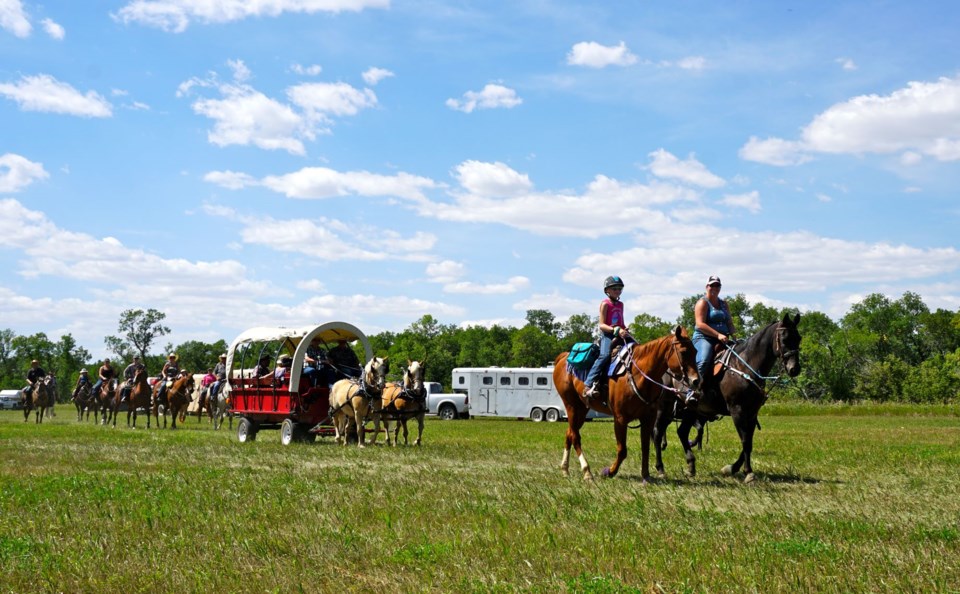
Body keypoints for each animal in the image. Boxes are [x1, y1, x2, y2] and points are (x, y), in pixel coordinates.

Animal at [556, 326, 696, 484]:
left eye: (696, 351)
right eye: (683, 352)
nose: (696, 380)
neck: (639, 374)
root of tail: (563, 358)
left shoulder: (648, 419)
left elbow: (645, 448)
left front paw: (646, 476)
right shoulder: (620, 419)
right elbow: (622, 450)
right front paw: (609, 471)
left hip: (582, 408)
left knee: (569, 433)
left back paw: (565, 469)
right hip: (571, 405)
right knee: (575, 436)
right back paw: (587, 472)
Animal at [652, 312, 804, 484]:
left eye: (798, 338)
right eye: (784, 339)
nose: (795, 368)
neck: (744, 366)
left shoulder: (752, 413)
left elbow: (749, 442)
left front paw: (732, 468)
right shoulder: (737, 410)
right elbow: (745, 440)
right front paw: (748, 473)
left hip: (690, 409)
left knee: (682, 432)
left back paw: (691, 465)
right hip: (665, 407)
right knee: (657, 433)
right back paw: (660, 469)